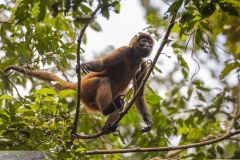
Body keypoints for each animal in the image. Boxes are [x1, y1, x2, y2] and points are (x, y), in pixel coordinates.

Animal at [4, 32, 154, 132]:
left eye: (150, 43)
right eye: (143, 41)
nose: (148, 45)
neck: (134, 58)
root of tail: (78, 85)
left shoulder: (142, 63)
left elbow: (139, 93)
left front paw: (148, 122)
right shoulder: (124, 50)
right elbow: (102, 64)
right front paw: (84, 65)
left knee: (121, 100)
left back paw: (108, 126)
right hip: (86, 89)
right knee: (103, 80)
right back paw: (107, 109)